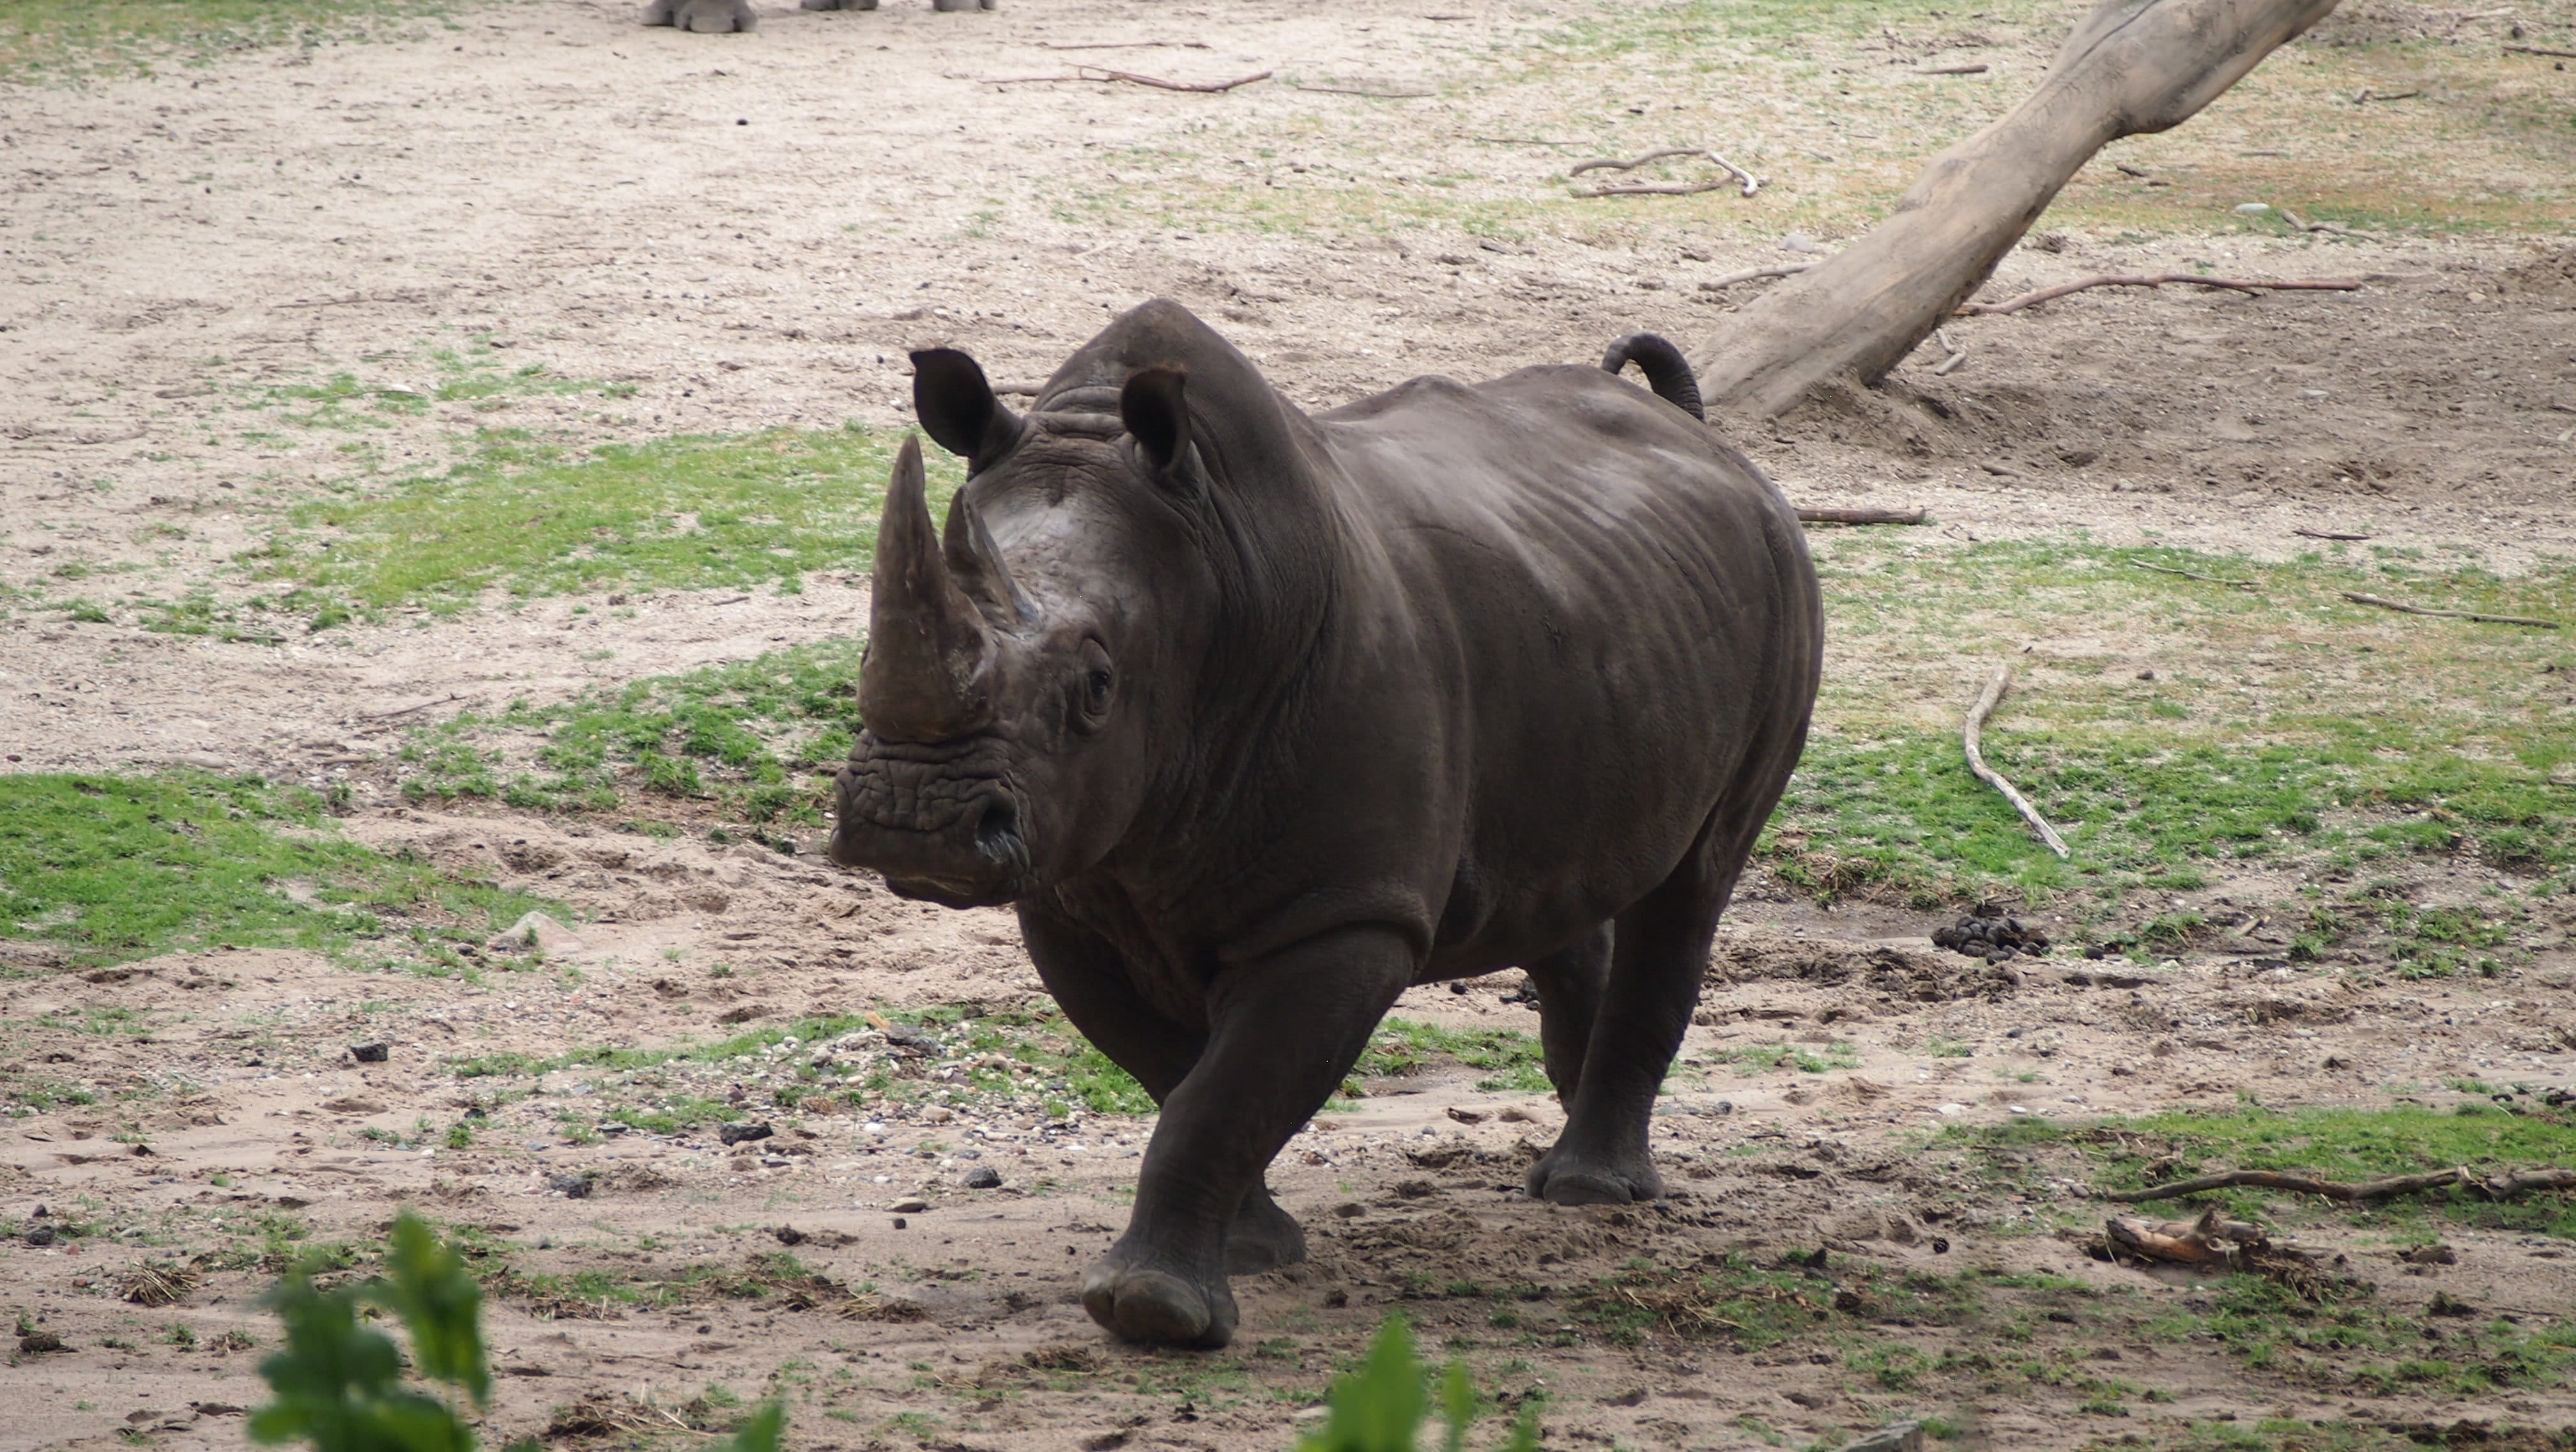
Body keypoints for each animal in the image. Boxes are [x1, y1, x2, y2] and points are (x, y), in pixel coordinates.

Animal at [830, 300, 1822, 1348]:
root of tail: (1712, 444)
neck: (1209, 562)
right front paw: (1253, 1253)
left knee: (1695, 881)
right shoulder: (1068, 894)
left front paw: (1154, 1312)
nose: (913, 823)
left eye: (1098, 687)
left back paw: (1592, 1193)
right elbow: (1179, 1075)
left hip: (1782, 580)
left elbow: (1223, 1092)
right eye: (862, 652)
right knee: (1565, 881)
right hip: (1594, 614)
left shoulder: (1345, 911)